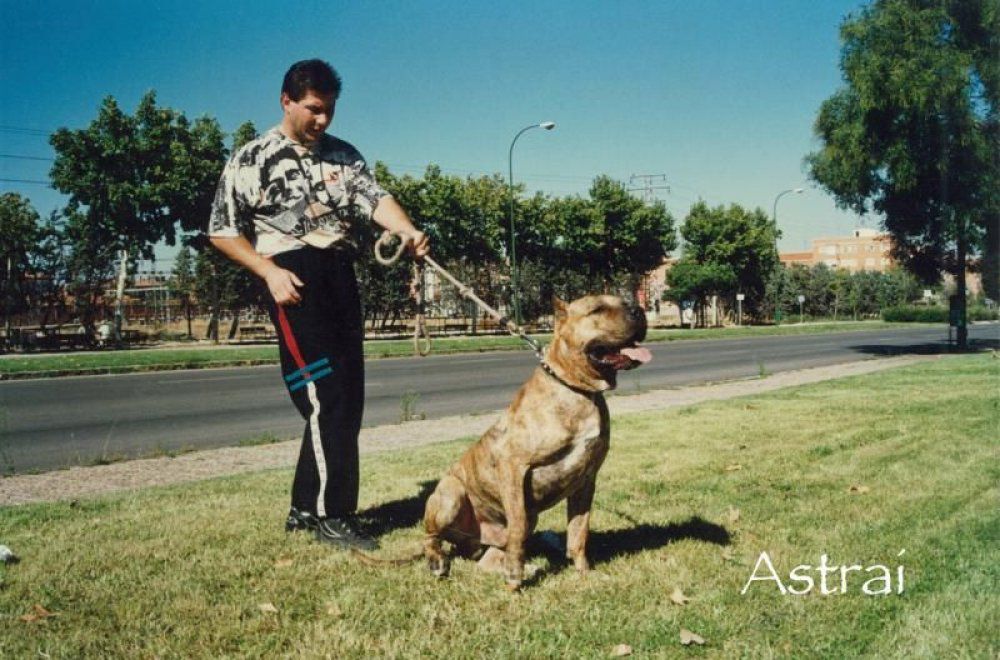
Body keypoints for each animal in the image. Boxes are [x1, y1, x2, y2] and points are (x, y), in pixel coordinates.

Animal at [424, 296, 652, 588]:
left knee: (487, 560)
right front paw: (514, 578)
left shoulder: (587, 480)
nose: (639, 310)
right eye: (597, 309)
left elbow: (579, 532)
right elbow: (518, 528)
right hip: (450, 494)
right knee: (431, 536)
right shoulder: (513, 467)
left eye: (624, 302)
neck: (577, 390)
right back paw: (438, 561)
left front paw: (584, 574)